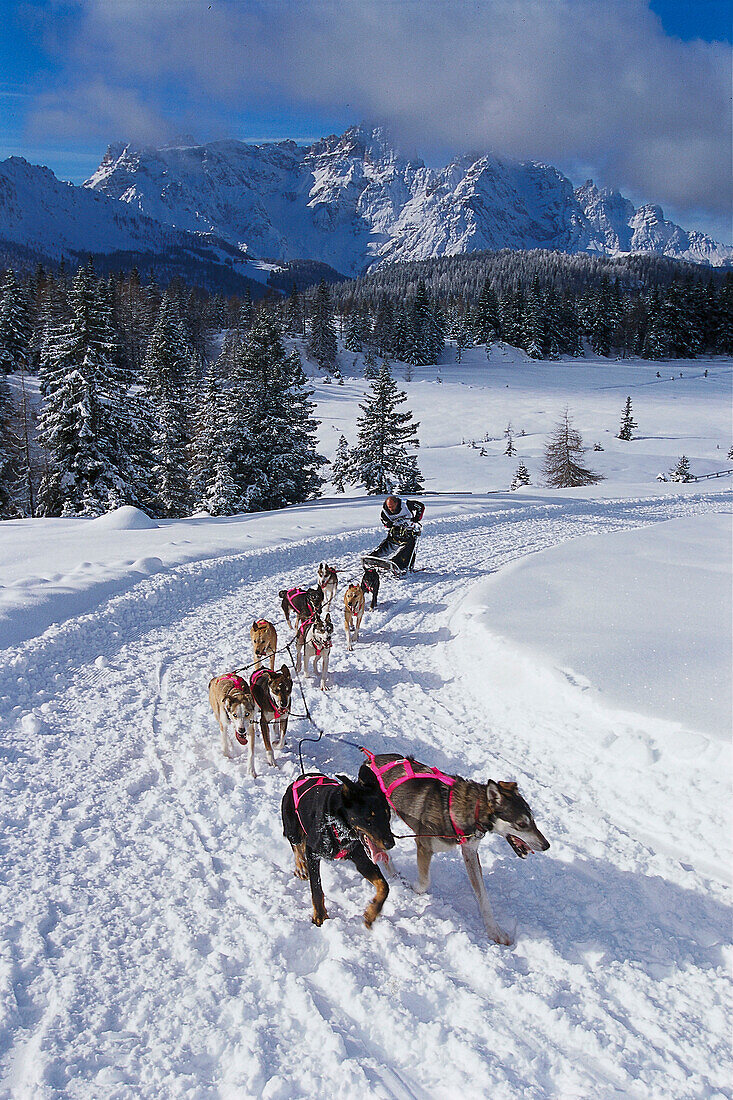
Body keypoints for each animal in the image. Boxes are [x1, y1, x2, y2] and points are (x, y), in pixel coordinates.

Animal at [279, 774, 394, 928]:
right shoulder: (313, 852)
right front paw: (319, 916)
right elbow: (316, 888)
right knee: (297, 847)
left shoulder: (361, 859)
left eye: (388, 816)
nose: (390, 843)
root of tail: (299, 779)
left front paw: (372, 912)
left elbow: (384, 886)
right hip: (293, 829)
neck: (338, 824)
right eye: (368, 818)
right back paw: (302, 867)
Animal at [356, 752, 545, 950]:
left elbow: (483, 897)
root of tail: (371, 759)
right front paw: (414, 888)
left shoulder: (470, 852)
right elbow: (424, 882)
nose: (546, 845)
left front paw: (495, 931)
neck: (471, 809)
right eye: (521, 824)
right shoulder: (424, 845)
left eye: (533, 819)